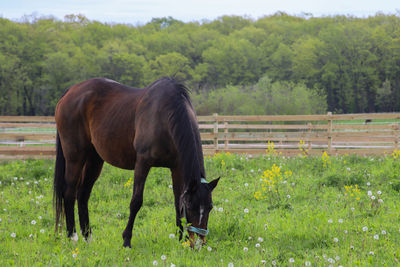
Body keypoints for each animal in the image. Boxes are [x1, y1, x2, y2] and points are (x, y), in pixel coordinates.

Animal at [53, 76, 219, 248]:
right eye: (191, 206)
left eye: (210, 207)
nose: (199, 244)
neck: (165, 116)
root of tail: (70, 91)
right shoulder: (142, 163)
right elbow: (136, 201)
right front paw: (126, 240)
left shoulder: (176, 168)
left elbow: (177, 201)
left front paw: (181, 240)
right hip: (75, 157)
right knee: (69, 192)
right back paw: (72, 236)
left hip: (94, 159)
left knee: (83, 194)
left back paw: (88, 237)